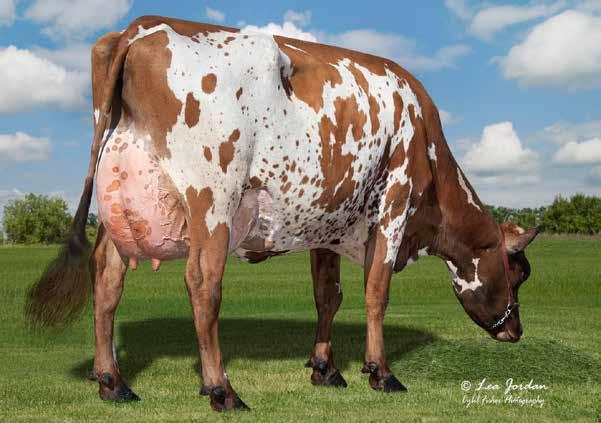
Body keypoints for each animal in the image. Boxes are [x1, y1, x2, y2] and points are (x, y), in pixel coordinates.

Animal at [26, 16, 538, 412]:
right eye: (519, 272)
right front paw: (381, 372)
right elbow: (377, 292)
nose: (515, 331)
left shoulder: (329, 222)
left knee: (107, 279)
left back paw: (113, 382)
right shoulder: (395, 199)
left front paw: (325, 369)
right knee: (202, 283)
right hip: (213, 197)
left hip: (121, 198)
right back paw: (221, 389)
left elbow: (328, 295)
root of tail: (139, 26)